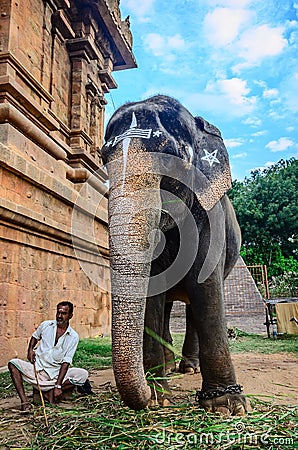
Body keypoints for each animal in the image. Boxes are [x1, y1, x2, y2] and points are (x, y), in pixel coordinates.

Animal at [100, 94, 247, 414]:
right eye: (104, 159)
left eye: (169, 156)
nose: (145, 396)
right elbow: (152, 291)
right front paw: (159, 397)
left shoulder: (210, 214)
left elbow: (205, 284)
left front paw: (226, 406)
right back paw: (170, 368)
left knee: (192, 304)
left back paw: (189, 368)